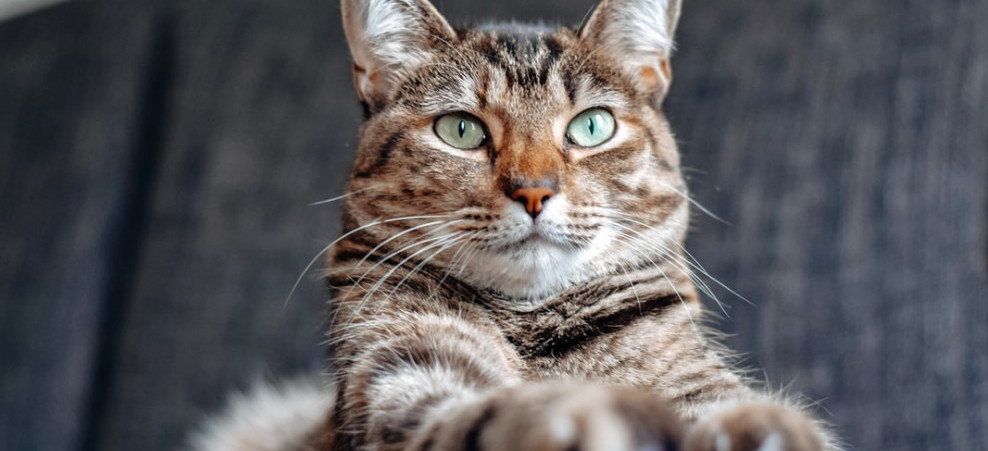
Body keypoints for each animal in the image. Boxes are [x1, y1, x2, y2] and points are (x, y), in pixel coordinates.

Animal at [189, 0, 836, 451]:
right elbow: (479, 417)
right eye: (460, 130)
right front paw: (588, 416)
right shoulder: (402, 375)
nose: (534, 190)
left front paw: (765, 428)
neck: (533, 324)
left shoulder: (693, 380)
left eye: (593, 126)